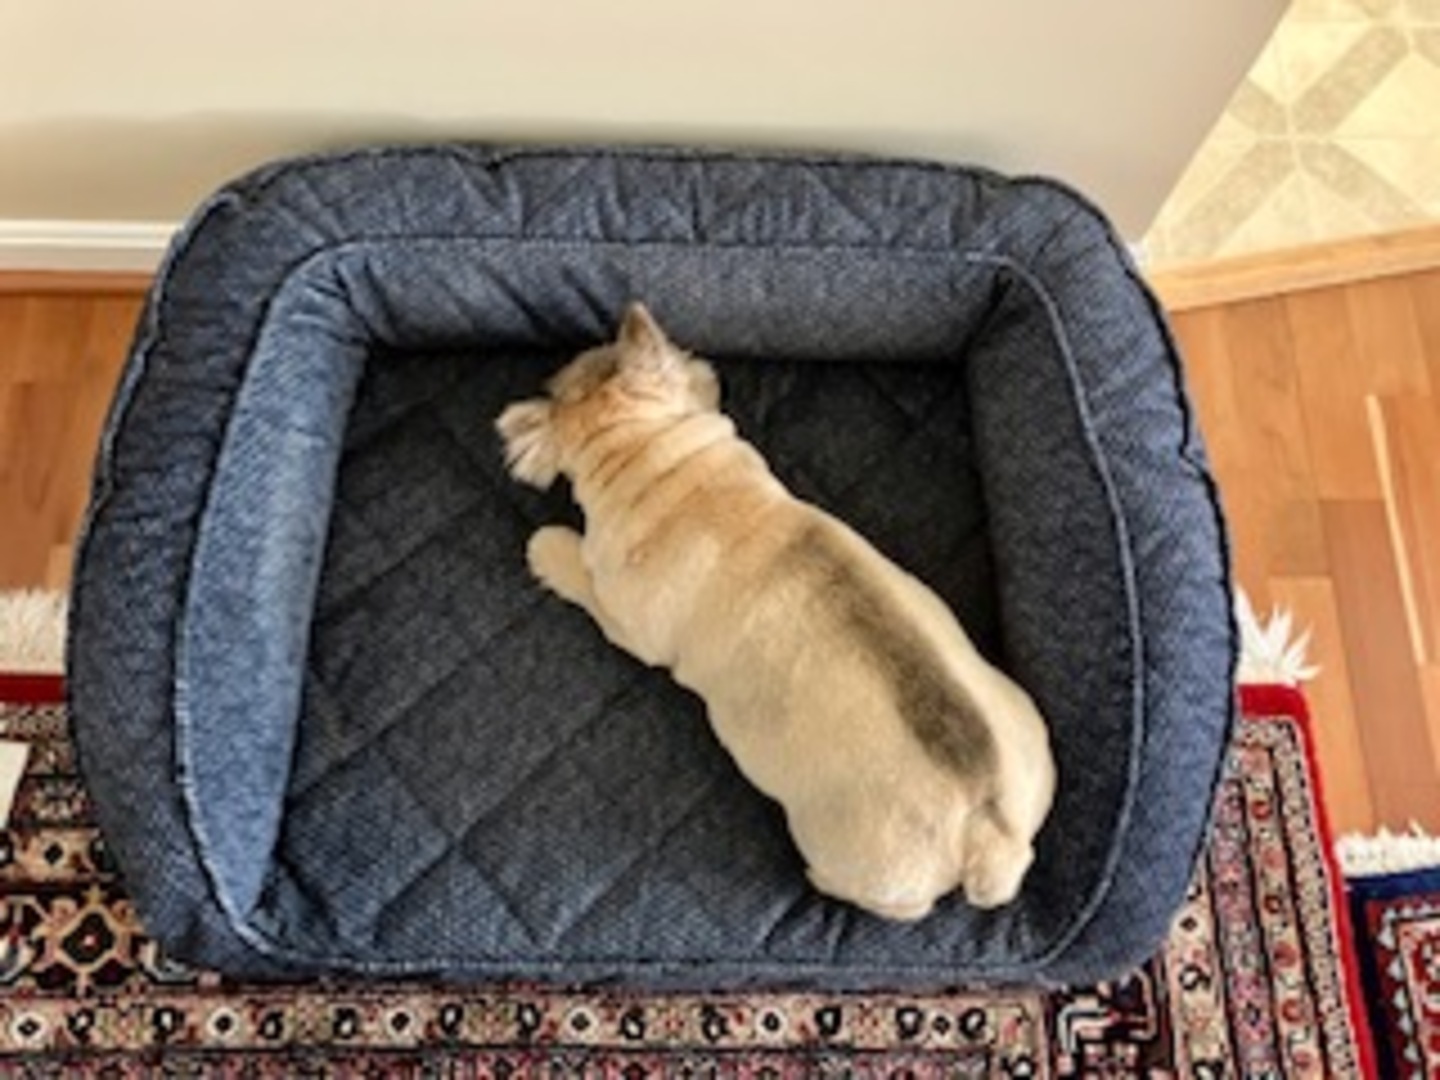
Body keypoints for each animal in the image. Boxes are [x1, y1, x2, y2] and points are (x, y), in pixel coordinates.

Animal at [497, 303, 1056, 920]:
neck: (653, 462)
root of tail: (987, 833)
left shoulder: (622, 617)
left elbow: (580, 573)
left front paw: (548, 549)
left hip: (864, 862)